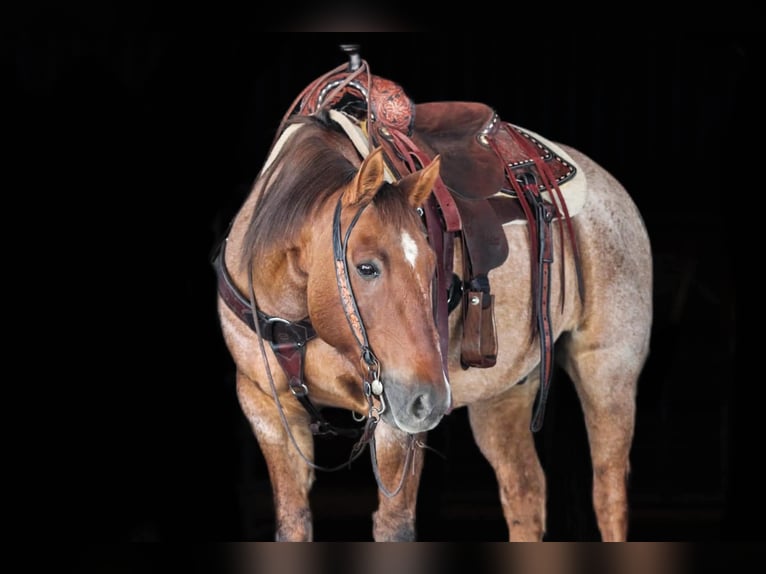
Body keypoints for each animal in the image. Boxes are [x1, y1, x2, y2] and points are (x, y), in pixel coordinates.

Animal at [213, 51, 653, 542]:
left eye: (432, 264)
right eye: (366, 267)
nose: (431, 401)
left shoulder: (393, 416)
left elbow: (394, 525)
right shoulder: (267, 409)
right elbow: (293, 523)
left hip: (608, 369)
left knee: (608, 494)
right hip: (503, 393)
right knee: (525, 491)